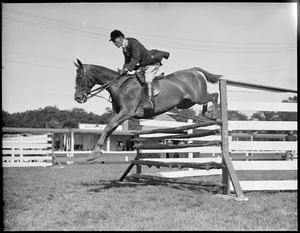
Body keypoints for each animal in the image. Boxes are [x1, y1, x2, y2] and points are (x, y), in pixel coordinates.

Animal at [74, 58, 221, 160]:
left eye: (80, 77)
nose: (78, 98)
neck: (120, 85)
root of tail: (193, 70)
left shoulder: (126, 112)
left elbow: (108, 126)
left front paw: (93, 154)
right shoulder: (121, 114)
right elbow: (110, 129)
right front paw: (97, 151)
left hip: (198, 97)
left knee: (214, 95)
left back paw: (214, 116)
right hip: (187, 103)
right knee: (207, 100)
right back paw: (208, 115)